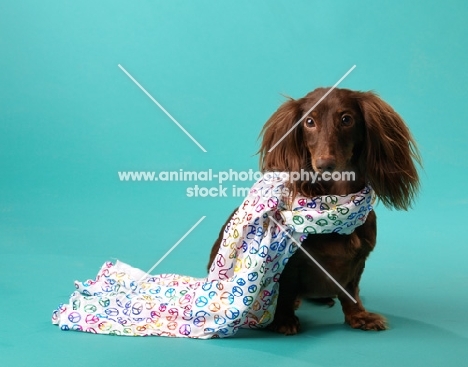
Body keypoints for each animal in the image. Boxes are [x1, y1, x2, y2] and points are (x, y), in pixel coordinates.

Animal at [207, 87, 418, 334]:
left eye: (346, 119)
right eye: (309, 122)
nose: (325, 164)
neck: (336, 204)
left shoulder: (357, 264)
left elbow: (351, 292)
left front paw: (359, 316)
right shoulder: (288, 265)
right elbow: (286, 292)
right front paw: (284, 319)